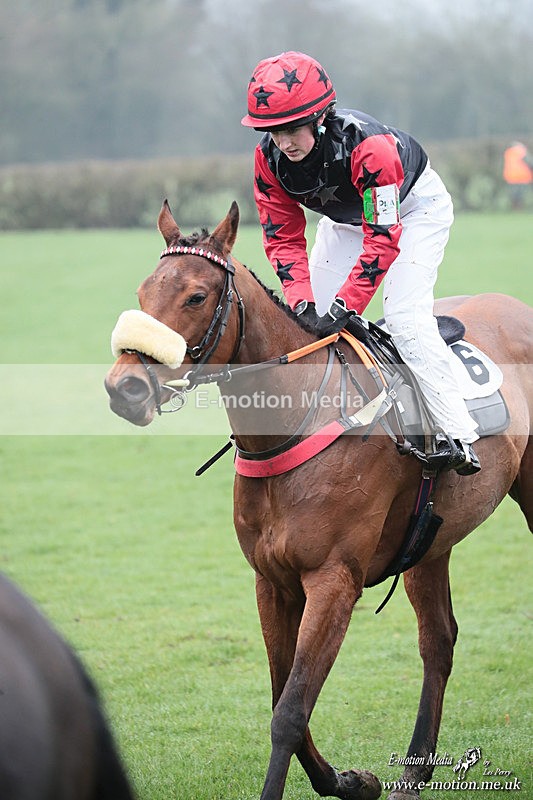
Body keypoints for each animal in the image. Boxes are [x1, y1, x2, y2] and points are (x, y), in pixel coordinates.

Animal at [104, 200, 533, 800]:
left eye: (195, 296)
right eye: (144, 292)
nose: (124, 388)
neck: (294, 419)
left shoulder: (334, 581)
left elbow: (289, 712)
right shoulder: (272, 581)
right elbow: (285, 698)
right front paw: (352, 780)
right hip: (431, 539)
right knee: (438, 639)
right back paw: (414, 770)